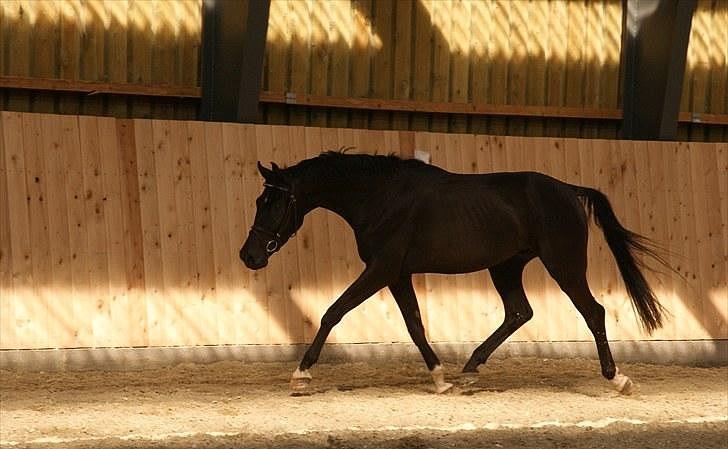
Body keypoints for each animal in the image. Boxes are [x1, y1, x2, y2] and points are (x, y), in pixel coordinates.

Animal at [239, 152, 664, 394]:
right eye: (259, 200)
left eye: (272, 202)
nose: (249, 256)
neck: (380, 197)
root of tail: (569, 190)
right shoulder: (397, 274)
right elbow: (414, 324)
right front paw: (440, 377)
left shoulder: (381, 269)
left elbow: (333, 312)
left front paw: (301, 374)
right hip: (505, 266)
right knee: (519, 313)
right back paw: (470, 370)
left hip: (564, 265)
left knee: (593, 312)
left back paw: (617, 379)